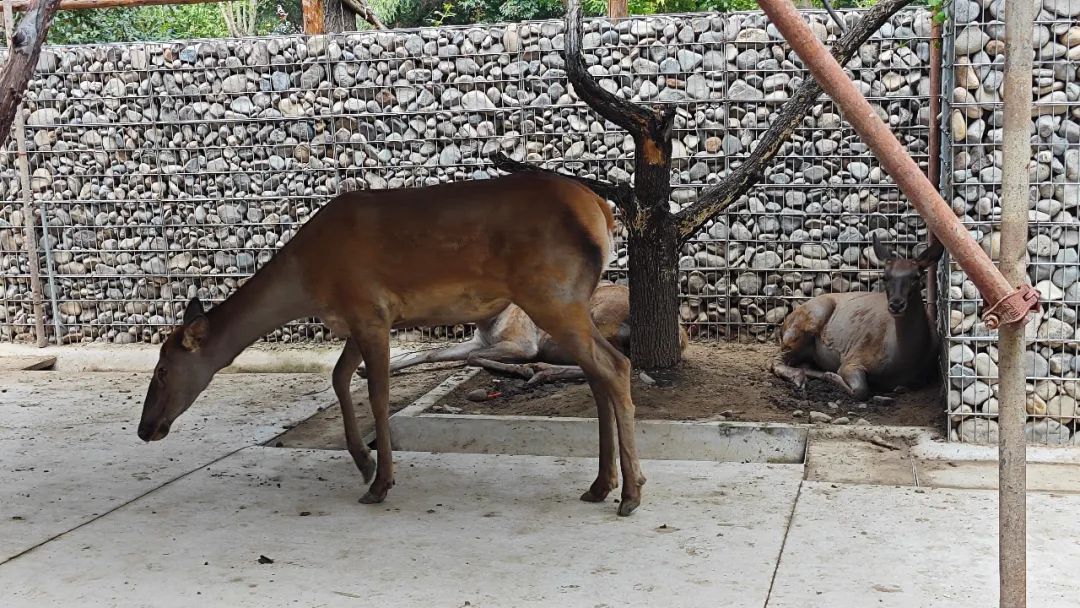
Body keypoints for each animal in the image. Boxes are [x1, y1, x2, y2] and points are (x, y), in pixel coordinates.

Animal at [373, 285, 691, 388]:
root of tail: (682, 334)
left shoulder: (522, 343)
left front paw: (523, 368)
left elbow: (473, 357)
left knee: (619, 364)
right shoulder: (480, 340)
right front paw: (373, 370)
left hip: (596, 320)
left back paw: (539, 371)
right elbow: (431, 353)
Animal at [768, 235, 946, 401]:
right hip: (808, 320)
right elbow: (860, 390)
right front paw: (831, 376)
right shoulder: (854, 359)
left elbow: (902, 387)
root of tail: (784, 325)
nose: (896, 304)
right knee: (776, 359)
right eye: (885, 277)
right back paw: (800, 379)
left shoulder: (923, 377)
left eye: (916, 276)